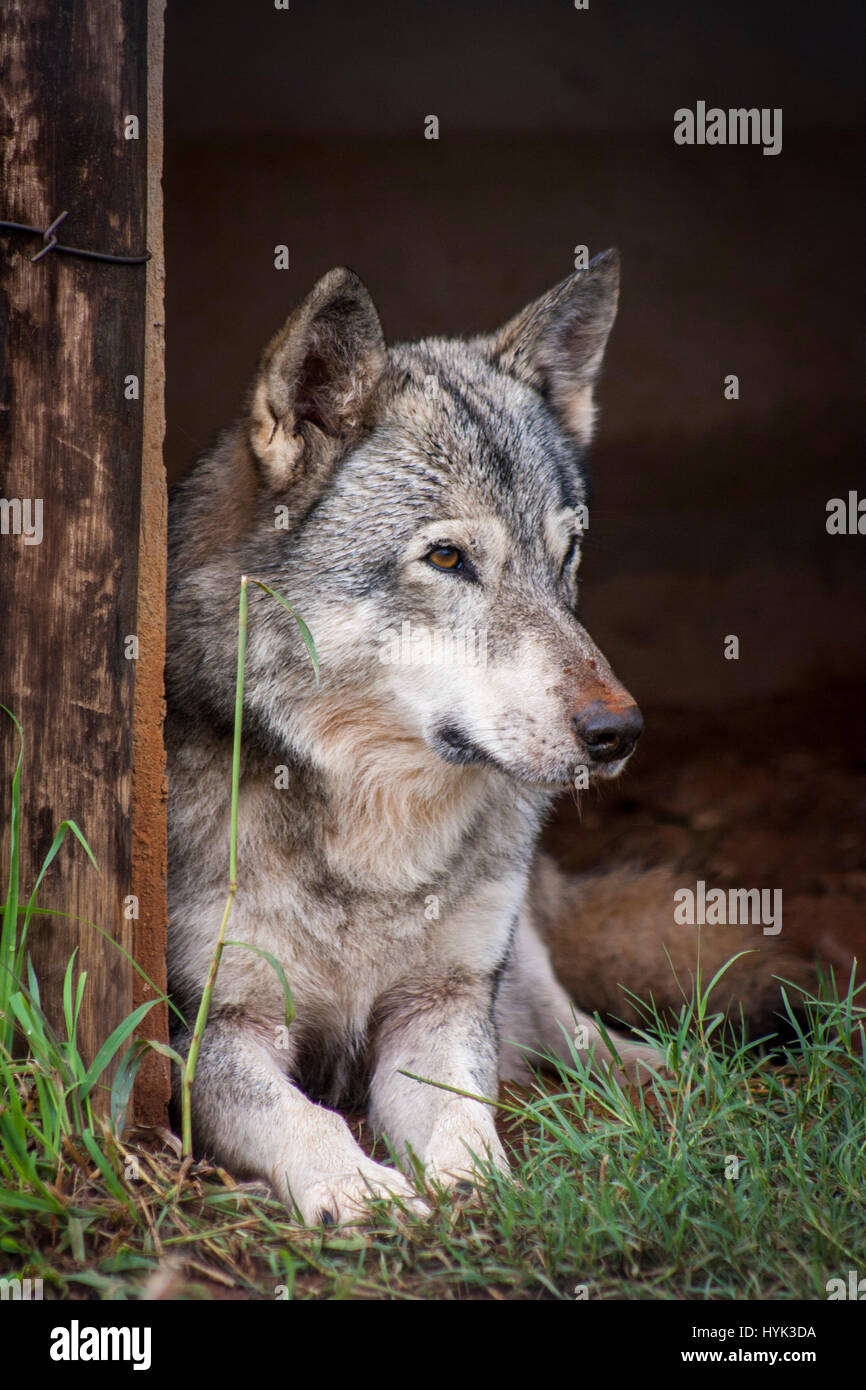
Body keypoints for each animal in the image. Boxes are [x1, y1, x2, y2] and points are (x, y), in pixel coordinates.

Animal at [166, 255, 810, 1224]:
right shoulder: (214, 1032)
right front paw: (361, 1189)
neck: (377, 841)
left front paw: (478, 1181)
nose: (619, 732)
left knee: (580, 1037)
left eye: (568, 554)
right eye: (447, 559)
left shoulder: (443, 1004)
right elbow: (302, 1115)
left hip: (515, 966)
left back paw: (675, 1083)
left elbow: (466, 1109)